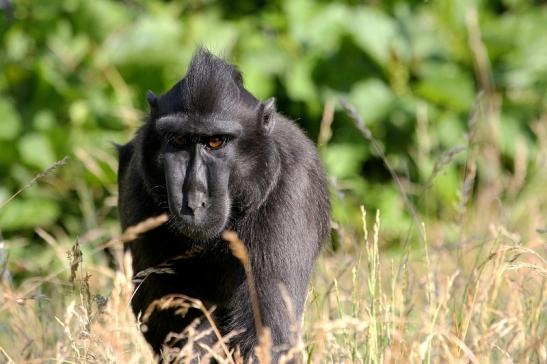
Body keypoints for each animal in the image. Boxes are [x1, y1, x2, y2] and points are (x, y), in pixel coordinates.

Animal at [117, 49, 330, 362]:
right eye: (178, 140)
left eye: (216, 142)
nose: (193, 201)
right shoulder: (138, 186)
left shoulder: (293, 188)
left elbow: (267, 333)